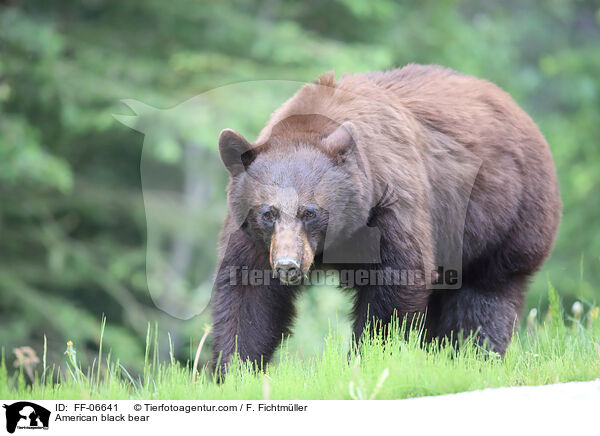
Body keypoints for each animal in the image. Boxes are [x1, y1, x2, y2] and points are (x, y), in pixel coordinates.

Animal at [210, 64, 564, 372]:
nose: (287, 264)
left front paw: (367, 359)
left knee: (485, 297)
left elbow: (396, 284)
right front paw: (236, 369)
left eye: (309, 212)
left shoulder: (391, 204)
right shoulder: (251, 233)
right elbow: (249, 292)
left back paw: (472, 356)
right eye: (268, 213)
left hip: (507, 219)